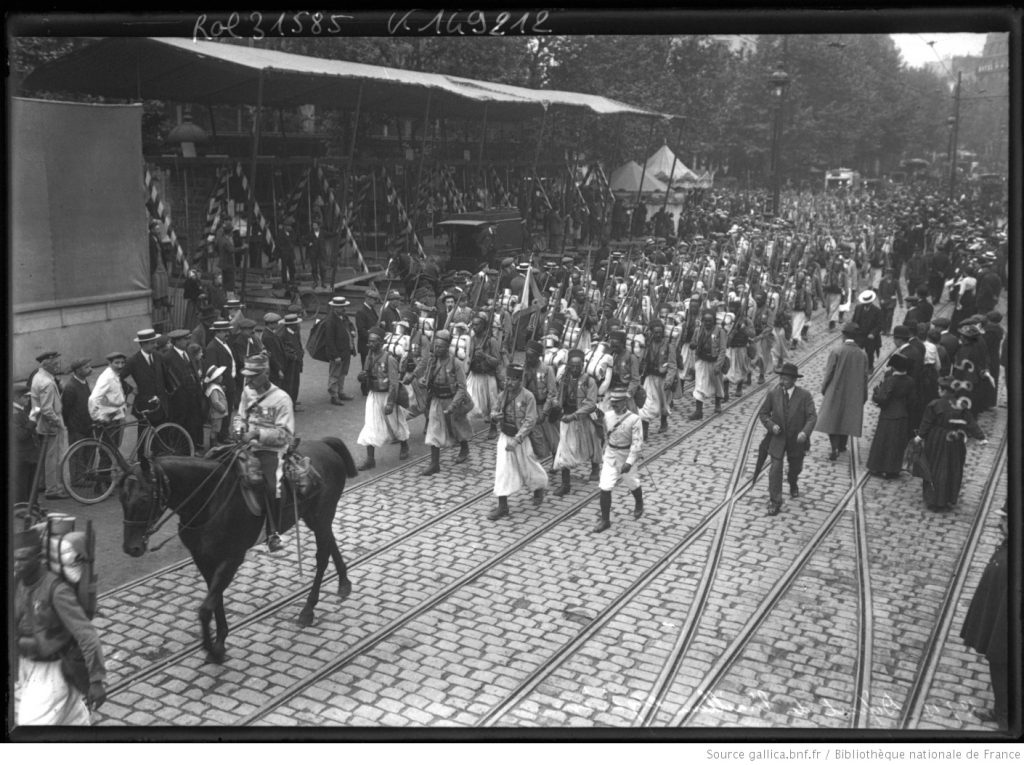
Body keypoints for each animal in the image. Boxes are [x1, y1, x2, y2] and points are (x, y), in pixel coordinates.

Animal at [119, 436, 358, 663]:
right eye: (122, 498)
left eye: (144, 498)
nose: (131, 547)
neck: (210, 500)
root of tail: (324, 445)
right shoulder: (203, 558)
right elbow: (215, 601)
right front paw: (220, 642)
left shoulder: (231, 559)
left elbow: (206, 609)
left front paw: (213, 649)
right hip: (314, 517)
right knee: (331, 543)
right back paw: (344, 583)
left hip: (321, 515)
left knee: (322, 557)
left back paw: (308, 609)